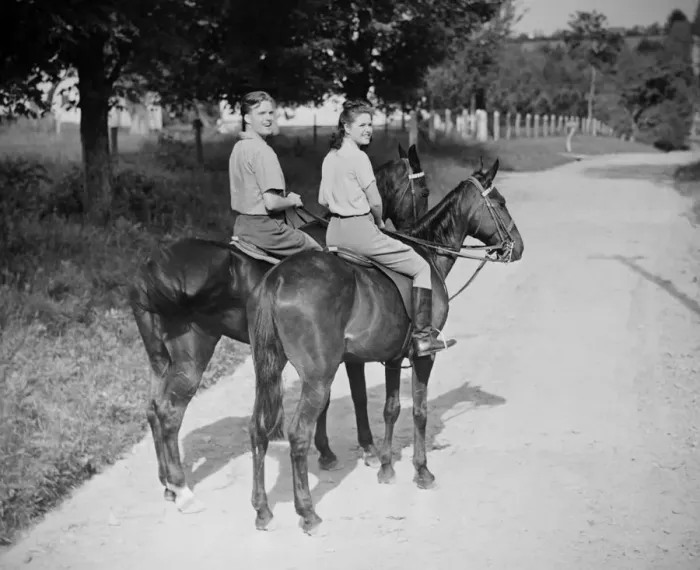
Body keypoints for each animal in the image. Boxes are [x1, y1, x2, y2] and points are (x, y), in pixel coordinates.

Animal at [128, 143, 431, 513]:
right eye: (424, 191)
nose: (413, 237)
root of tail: (151, 266)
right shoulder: (342, 354)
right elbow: (353, 396)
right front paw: (359, 450)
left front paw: (329, 451)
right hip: (191, 354)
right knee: (169, 412)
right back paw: (182, 490)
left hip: (160, 357)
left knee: (154, 409)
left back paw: (168, 484)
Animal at [247, 158, 524, 534]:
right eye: (500, 202)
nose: (519, 246)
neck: (428, 253)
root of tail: (276, 279)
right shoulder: (422, 358)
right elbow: (419, 411)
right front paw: (421, 471)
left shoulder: (393, 357)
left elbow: (390, 409)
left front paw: (386, 467)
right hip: (318, 378)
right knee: (298, 435)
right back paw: (307, 511)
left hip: (269, 369)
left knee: (258, 429)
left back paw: (262, 510)